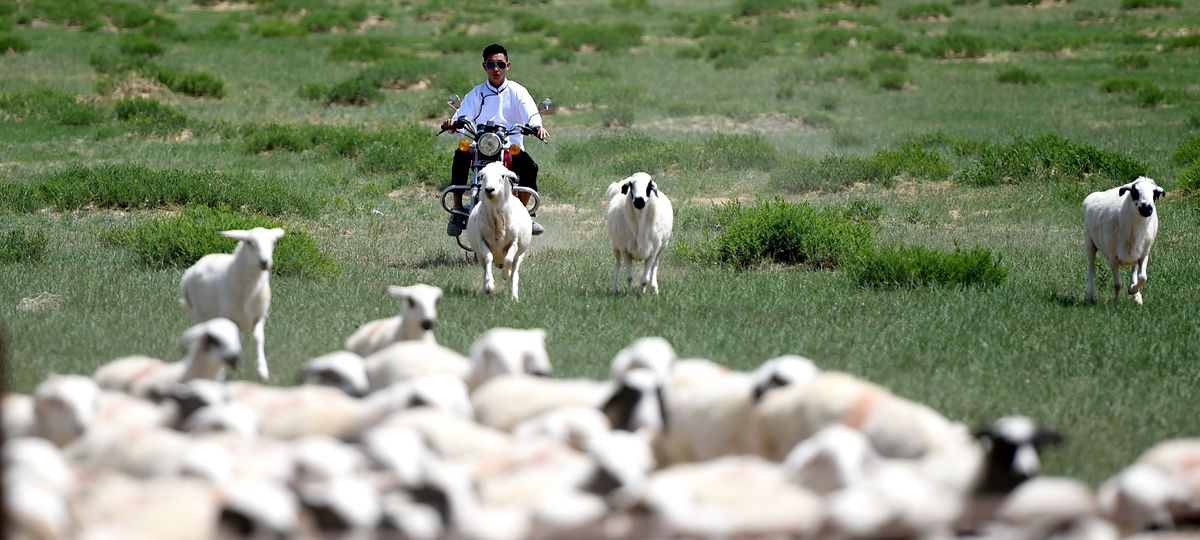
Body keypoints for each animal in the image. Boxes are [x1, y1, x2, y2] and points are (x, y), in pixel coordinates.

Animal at [177, 225, 285, 381]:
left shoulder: (260, 315)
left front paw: (262, 371)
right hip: (200, 313)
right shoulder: (229, 317)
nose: (264, 261)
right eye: (250, 242)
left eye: (273, 242)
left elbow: (259, 337)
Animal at [463, 162, 530, 301]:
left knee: (515, 274)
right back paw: (485, 289)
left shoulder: (514, 242)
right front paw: (490, 286)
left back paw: (514, 296)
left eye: (503, 176)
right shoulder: (482, 241)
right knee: (485, 269)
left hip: (520, 255)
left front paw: (505, 274)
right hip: (480, 256)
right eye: (483, 176)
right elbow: (489, 257)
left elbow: (508, 259)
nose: (489, 189)